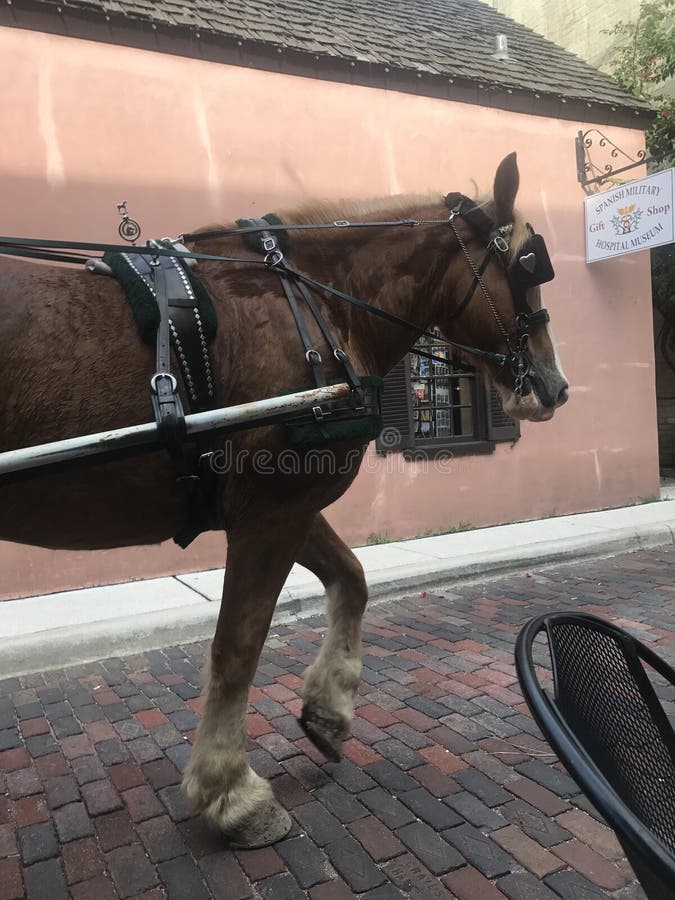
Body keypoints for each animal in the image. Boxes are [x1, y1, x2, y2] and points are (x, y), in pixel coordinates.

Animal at [0, 153, 568, 846]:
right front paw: (231, 793)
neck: (319, 304)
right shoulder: (271, 511)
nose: (555, 385)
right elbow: (237, 648)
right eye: (527, 268)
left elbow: (352, 579)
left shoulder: (291, 505)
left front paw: (328, 709)